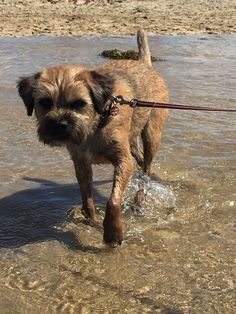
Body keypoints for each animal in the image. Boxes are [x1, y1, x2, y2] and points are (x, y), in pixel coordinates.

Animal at [17, 29, 168, 245]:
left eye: (79, 104)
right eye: (45, 102)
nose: (59, 125)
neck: (96, 123)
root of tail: (144, 65)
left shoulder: (123, 161)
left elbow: (113, 200)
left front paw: (113, 232)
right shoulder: (81, 164)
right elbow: (86, 198)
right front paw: (91, 222)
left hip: (152, 133)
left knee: (146, 167)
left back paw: (139, 199)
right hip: (132, 140)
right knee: (141, 162)